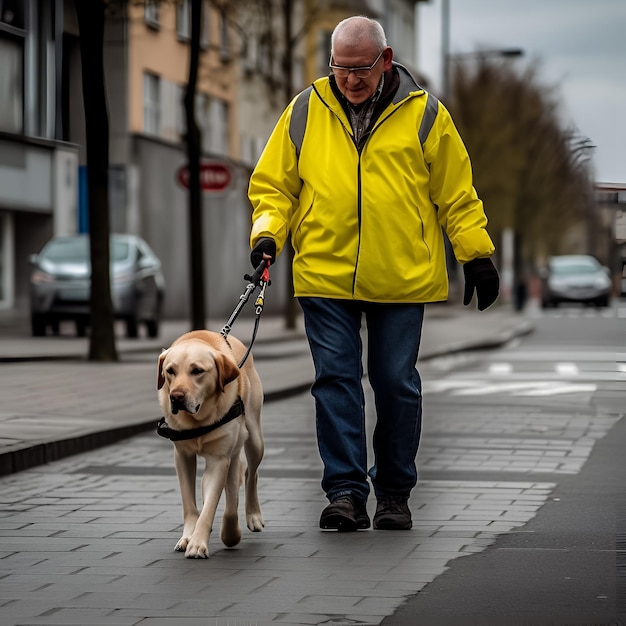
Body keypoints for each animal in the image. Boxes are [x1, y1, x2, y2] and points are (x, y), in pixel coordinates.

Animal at [158, 330, 264, 560]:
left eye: (197, 371)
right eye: (170, 371)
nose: (175, 397)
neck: (198, 420)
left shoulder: (219, 459)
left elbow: (218, 505)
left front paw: (203, 542)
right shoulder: (182, 457)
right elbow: (190, 503)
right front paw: (188, 536)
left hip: (254, 439)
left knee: (250, 474)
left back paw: (253, 515)